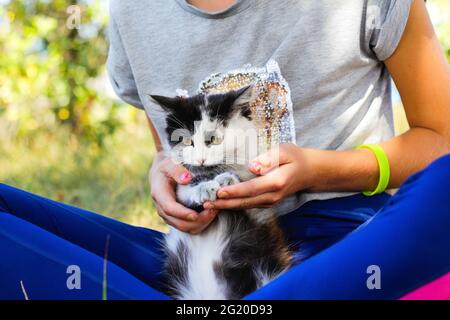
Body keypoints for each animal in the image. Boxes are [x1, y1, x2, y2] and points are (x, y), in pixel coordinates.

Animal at [149, 86, 294, 298]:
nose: (200, 159)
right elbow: (187, 188)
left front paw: (228, 179)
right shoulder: (180, 188)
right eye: (186, 141)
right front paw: (203, 188)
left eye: (214, 139)